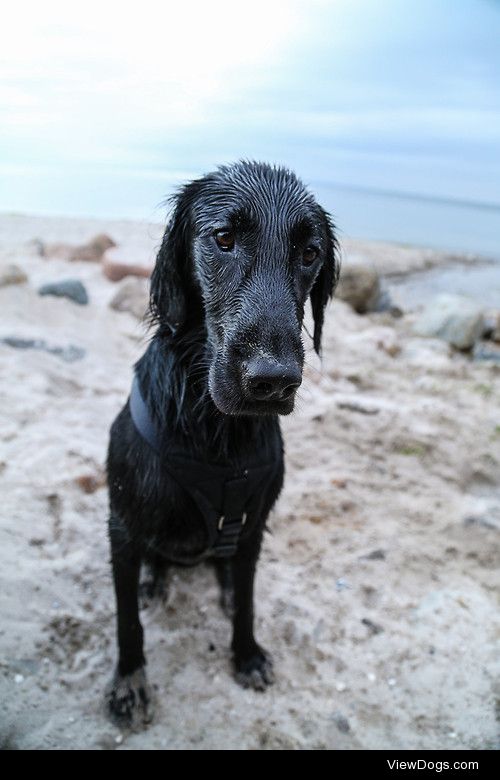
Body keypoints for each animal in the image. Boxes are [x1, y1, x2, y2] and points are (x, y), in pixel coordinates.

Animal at [105, 161, 340, 728]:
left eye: (309, 252)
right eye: (224, 238)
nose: (272, 381)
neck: (216, 432)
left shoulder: (252, 523)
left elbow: (250, 600)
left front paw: (246, 653)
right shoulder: (121, 525)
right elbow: (127, 621)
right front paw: (129, 682)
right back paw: (154, 581)